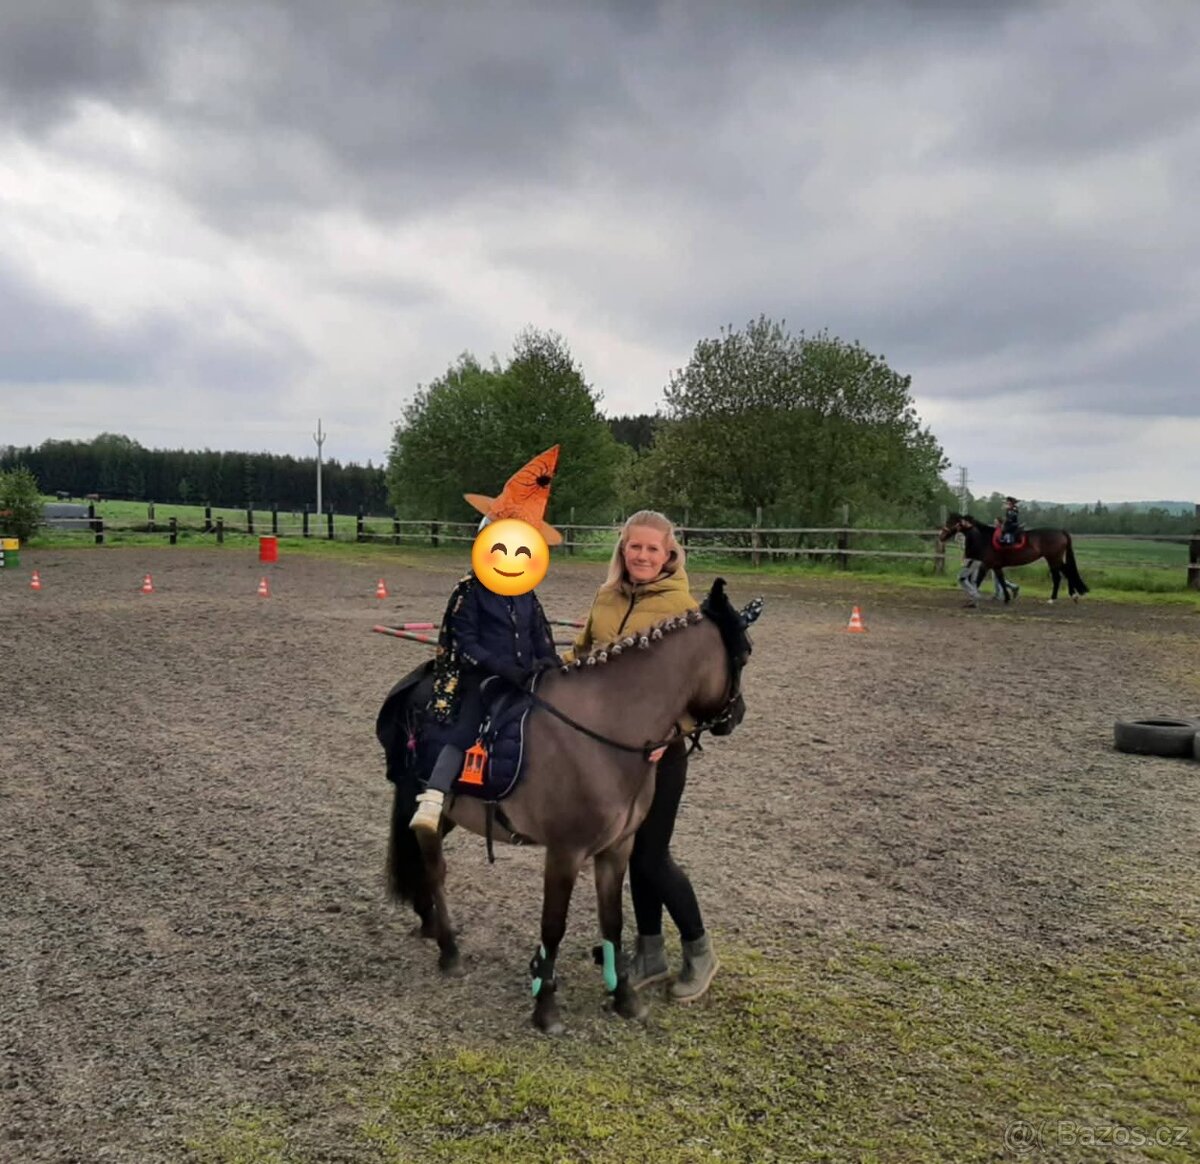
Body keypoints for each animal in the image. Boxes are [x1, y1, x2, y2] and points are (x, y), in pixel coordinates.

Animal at [376, 577, 760, 1034]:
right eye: (745, 654)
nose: (737, 714)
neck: (605, 731)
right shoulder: (564, 853)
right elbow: (553, 925)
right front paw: (545, 1007)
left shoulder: (616, 850)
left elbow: (613, 921)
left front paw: (624, 997)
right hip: (419, 797)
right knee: (433, 865)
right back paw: (449, 949)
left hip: (452, 810)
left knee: (422, 850)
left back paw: (430, 923)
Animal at [938, 513, 1089, 603]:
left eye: (952, 523)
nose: (941, 536)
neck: (984, 538)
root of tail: (1061, 532)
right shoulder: (996, 566)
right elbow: (1001, 580)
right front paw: (1007, 598)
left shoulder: (986, 564)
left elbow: (979, 581)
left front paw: (974, 598)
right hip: (1053, 559)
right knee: (1063, 574)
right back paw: (1068, 596)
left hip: (1054, 558)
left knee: (1063, 574)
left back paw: (1059, 598)